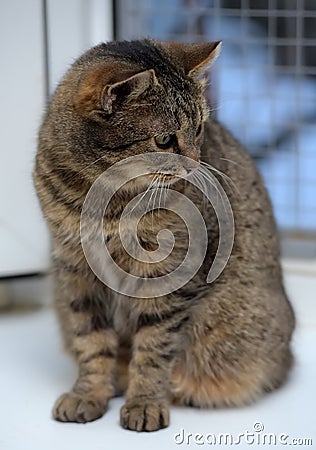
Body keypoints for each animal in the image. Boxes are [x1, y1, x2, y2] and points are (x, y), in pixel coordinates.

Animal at [33, 40, 296, 430]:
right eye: (163, 140)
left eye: (199, 129)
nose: (194, 165)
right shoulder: (75, 271)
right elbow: (91, 342)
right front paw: (88, 393)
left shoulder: (169, 275)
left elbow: (154, 347)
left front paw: (144, 402)